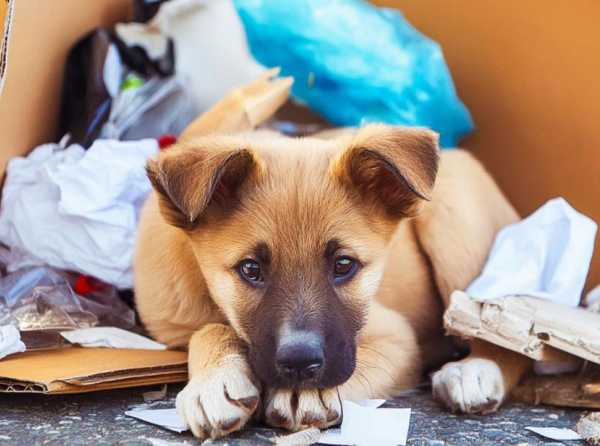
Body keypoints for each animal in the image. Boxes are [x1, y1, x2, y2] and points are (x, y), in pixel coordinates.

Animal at [135, 123, 528, 438]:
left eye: (343, 265)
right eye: (250, 269)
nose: (300, 366)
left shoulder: (396, 337)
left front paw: (307, 393)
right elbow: (208, 329)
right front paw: (214, 381)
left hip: (455, 225)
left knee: (503, 326)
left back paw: (475, 371)